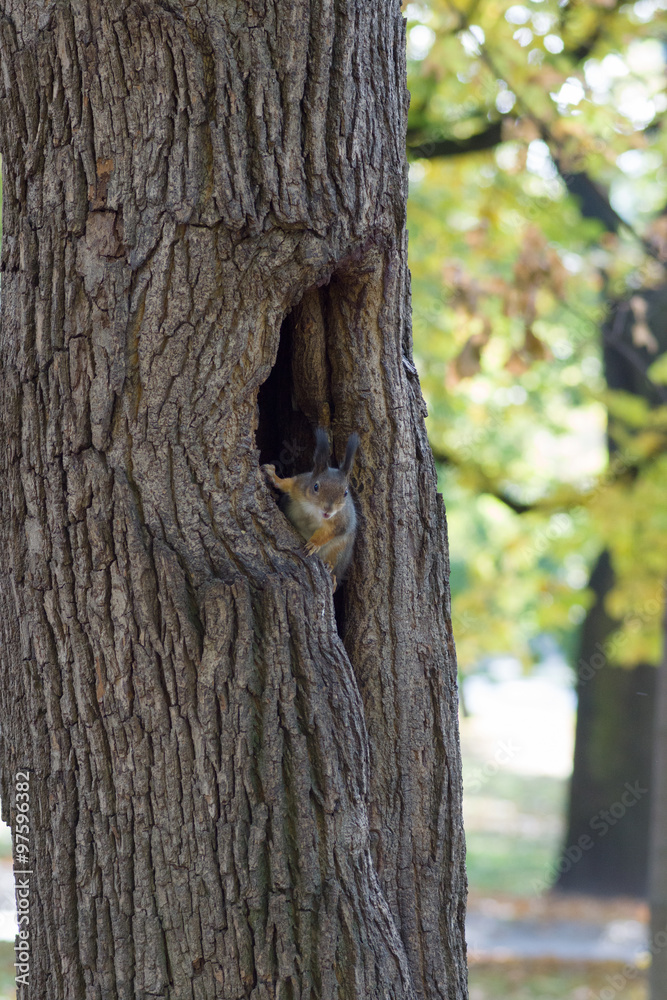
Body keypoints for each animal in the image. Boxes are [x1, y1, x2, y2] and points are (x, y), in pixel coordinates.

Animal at [263, 428, 359, 589]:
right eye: (315, 486)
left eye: (345, 492)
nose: (328, 510)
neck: (314, 511)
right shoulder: (299, 485)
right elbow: (287, 483)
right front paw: (273, 476)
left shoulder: (341, 521)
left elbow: (329, 532)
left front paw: (314, 544)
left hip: (340, 551)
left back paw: (331, 572)